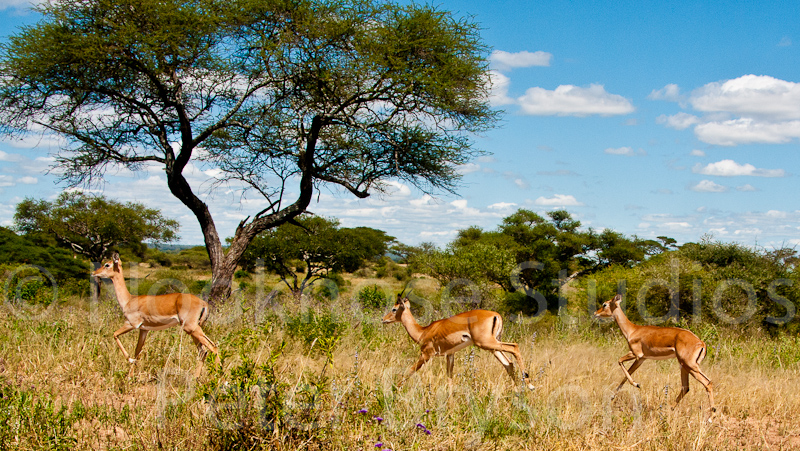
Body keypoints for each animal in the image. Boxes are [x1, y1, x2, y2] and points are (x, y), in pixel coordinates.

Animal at [382, 291, 534, 389]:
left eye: (394, 309)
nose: (383, 319)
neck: (423, 331)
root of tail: (496, 315)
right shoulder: (450, 355)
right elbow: (449, 379)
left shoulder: (426, 354)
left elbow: (409, 371)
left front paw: (395, 389)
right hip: (493, 346)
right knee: (508, 363)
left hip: (486, 343)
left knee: (514, 347)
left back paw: (529, 384)